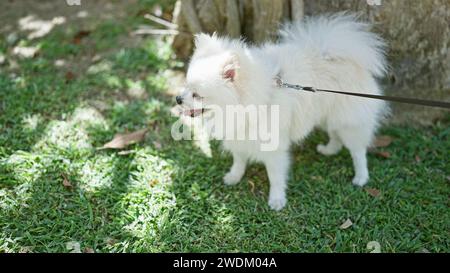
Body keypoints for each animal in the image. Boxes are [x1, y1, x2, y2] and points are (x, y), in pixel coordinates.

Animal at [176, 13, 386, 210]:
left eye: (197, 95)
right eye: (186, 86)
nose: (178, 98)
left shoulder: (273, 148)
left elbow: (275, 176)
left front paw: (277, 200)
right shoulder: (239, 137)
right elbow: (239, 160)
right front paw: (234, 176)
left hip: (348, 121)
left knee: (358, 151)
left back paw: (361, 177)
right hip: (330, 115)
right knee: (335, 134)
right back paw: (329, 150)